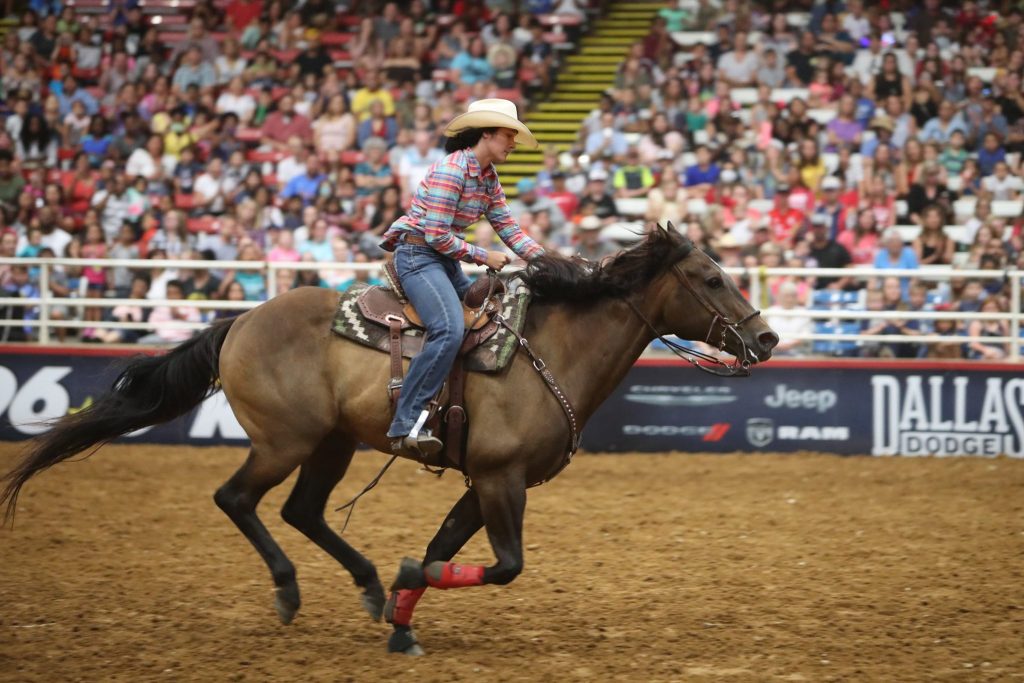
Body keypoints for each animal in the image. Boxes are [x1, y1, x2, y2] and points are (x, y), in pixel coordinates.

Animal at [4, 225, 778, 655]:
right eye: (710, 277)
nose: (768, 339)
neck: (552, 348)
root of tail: (242, 319)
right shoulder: (499, 479)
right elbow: (501, 565)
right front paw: (406, 585)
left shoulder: (486, 482)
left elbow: (445, 553)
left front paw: (403, 617)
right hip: (285, 442)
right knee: (238, 499)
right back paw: (290, 591)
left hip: (331, 443)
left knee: (301, 510)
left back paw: (371, 586)